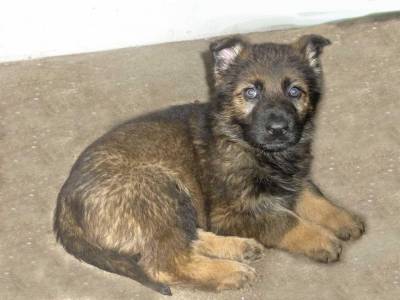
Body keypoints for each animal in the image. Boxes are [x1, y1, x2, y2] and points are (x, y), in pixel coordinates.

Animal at [54, 35, 366, 296]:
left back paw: (238, 246)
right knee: (166, 262)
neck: (245, 143)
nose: (278, 129)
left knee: (184, 238)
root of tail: (65, 201)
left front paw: (342, 218)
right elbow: (284, 219)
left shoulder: (292, 178)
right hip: (159, 189)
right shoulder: (229, 213)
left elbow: (312, 196)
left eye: (294, 92)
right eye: (251, 93)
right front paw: (320, 239)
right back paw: (231, 272)